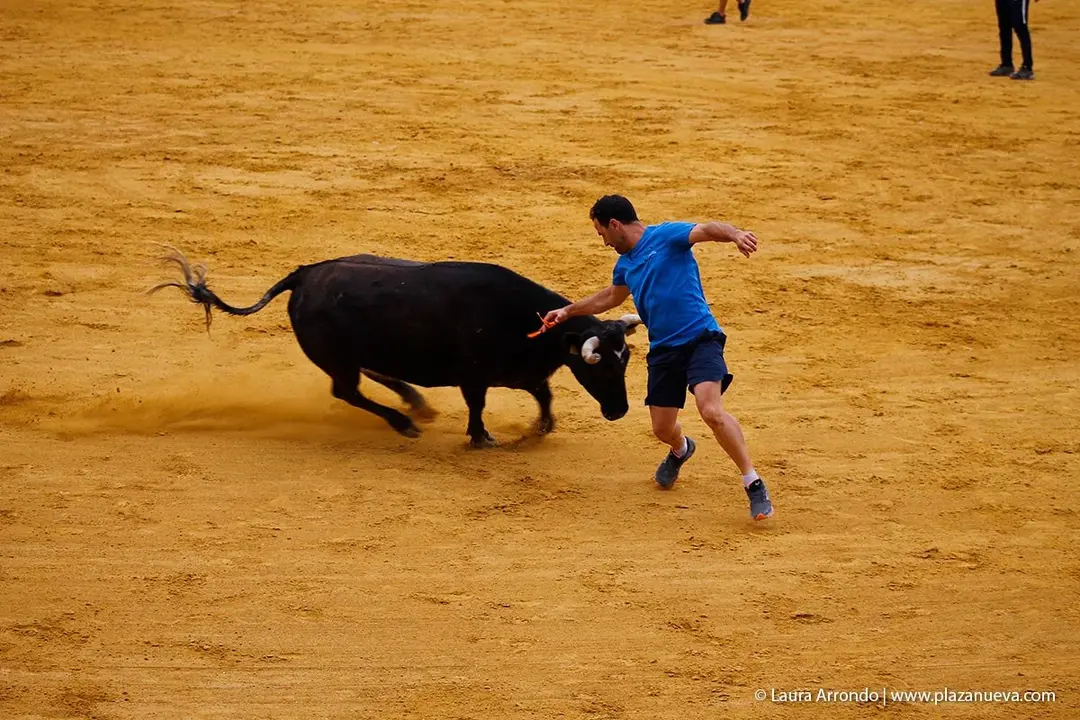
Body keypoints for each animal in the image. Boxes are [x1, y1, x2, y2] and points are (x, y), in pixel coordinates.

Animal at [150, 249, 642, 447]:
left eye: (624, 363)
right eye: (600, 367)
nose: (619, 411)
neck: (524, 320)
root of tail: (303, 275)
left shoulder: (520, 371)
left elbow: (544, 393)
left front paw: (539, 429)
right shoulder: (475, 376)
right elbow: (479, 406)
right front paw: (482, 438)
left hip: (355, 354)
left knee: (371, 377)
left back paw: (417, 404)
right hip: (336, 358)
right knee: (347, 391)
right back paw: (405, 422)